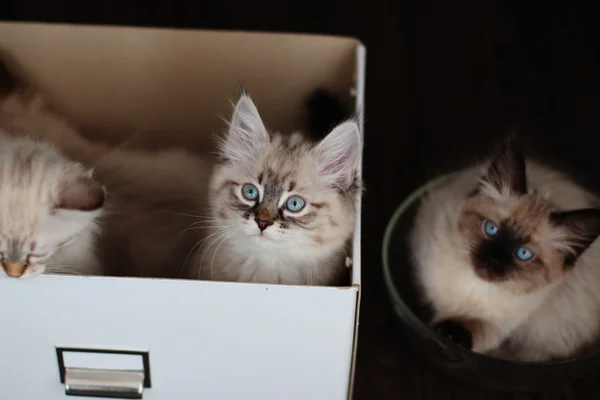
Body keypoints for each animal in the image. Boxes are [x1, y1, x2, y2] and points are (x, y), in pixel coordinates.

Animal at [412, 137, 600, 362]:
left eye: (524, 254)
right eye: (491, 229)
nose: (492, 260)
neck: (474, 288)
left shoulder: (496, 327)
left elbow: (471, 331)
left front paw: (447, 336)